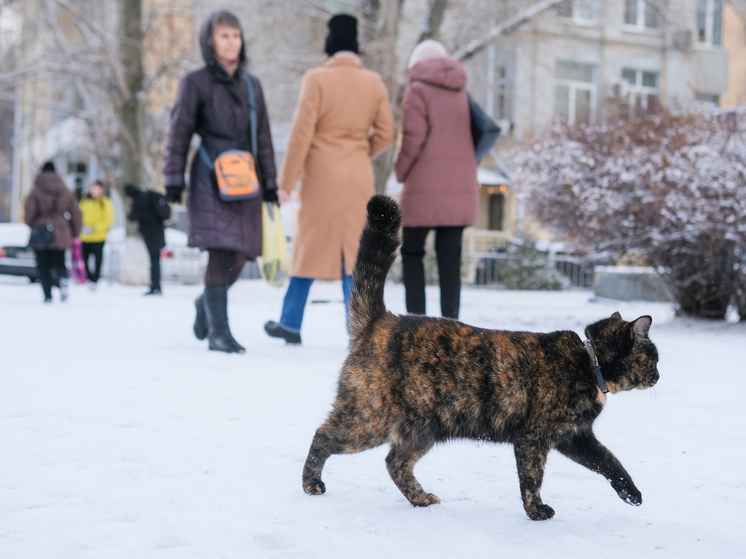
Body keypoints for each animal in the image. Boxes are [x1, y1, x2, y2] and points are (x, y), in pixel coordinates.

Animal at [300, 196, 660, 520]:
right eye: (654, 358)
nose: (659, 376)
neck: (589, 362)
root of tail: (380, 320)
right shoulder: (534, 438)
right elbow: (532, 478)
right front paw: (536, 511)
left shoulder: (575, 437)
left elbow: (610, 461)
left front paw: (632, 493)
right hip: (367, 420)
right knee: (322, 436)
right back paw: (311, 483)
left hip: (422, 429)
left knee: (395, 462)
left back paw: (421, 498)